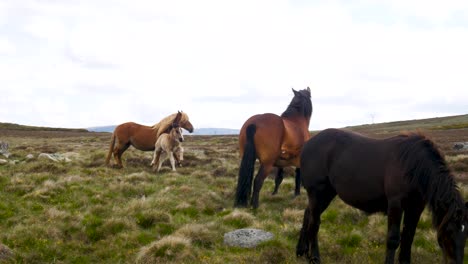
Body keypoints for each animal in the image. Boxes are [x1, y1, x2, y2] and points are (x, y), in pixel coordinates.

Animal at [298, 129, 466, 262]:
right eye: (449, 231)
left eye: (466, 233)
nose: (456, 262)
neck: (413, 166)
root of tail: (306, 144)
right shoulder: (396, 204)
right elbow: (393, 239)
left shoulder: (416, 207)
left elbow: (408, 237)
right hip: (317, 193)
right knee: (314, 223)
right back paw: (315, 257)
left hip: (326, 194)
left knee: (307, 215)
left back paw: (302, 252)